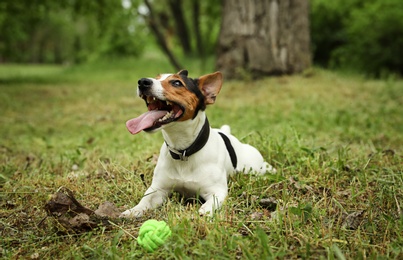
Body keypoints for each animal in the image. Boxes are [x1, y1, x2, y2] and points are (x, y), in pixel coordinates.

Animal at [120, 70, 276, 218]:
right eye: (156, 77)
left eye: (177, 83)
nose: (143, 82)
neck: (184, 151)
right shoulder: (158, 189)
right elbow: (145, 200)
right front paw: (133, 211)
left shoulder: (217, 191)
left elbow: (212, 202)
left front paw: (204, 212)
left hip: (253, 167)